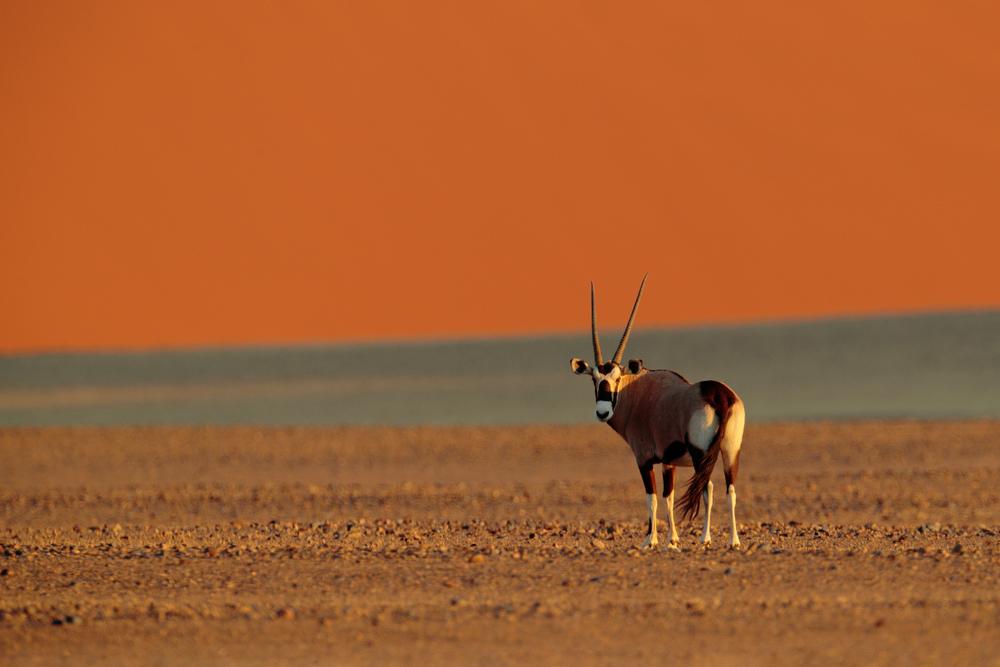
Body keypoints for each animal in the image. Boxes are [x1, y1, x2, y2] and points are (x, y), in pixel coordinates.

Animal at [569, 276, 746, 549]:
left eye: (617, 378)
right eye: (594, 379)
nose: (603, 412)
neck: (638, 392)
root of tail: (720, 397)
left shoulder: (644, 459)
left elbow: (652, 497)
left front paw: (650, 540)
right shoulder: (668, 462)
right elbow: (669, 496)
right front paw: (672, 539)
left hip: (701, 454)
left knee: (707, 488)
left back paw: (706, 538)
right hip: (729, 450)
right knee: (729, 490)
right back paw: (732, 540)